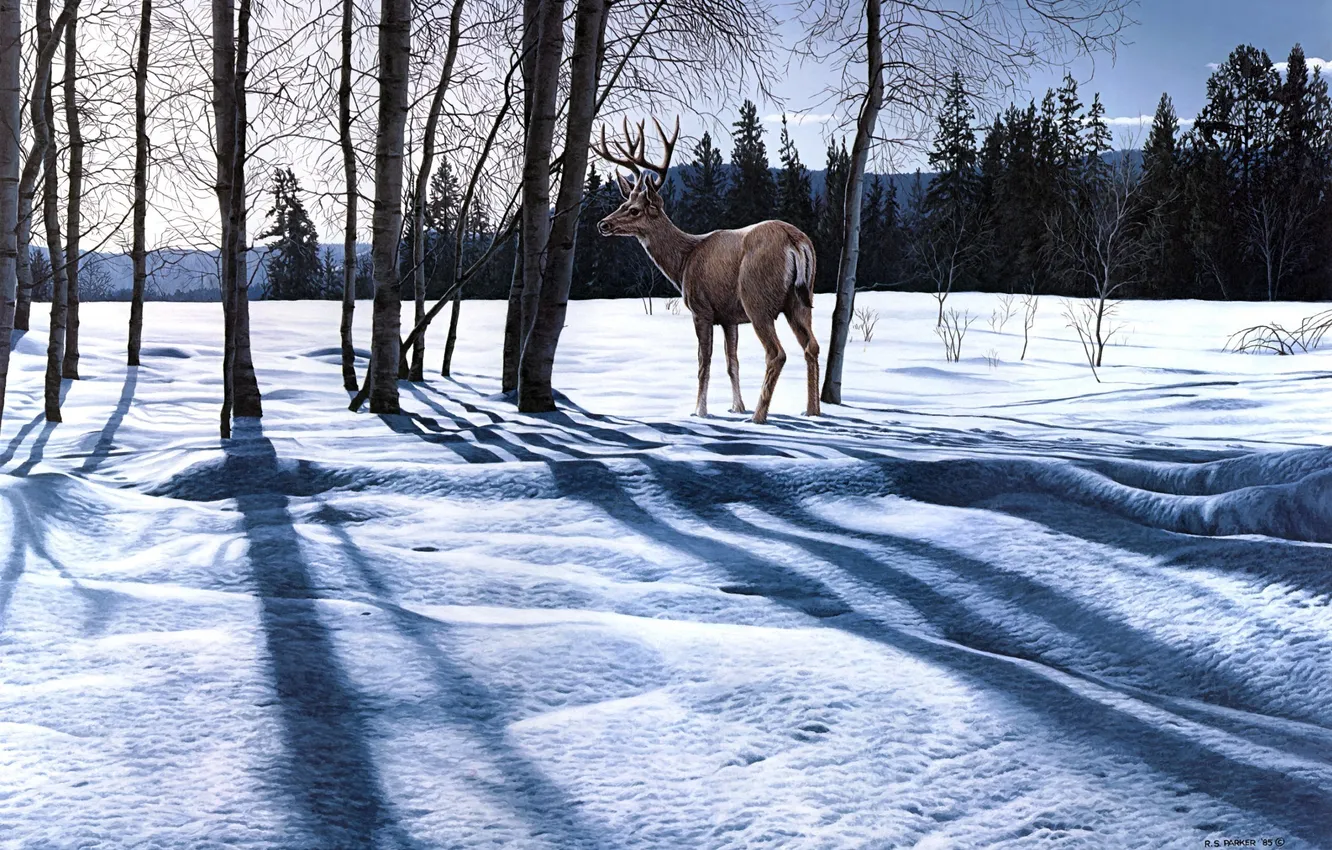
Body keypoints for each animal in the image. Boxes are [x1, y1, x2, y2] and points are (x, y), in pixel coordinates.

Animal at [592, 116, 820, 425]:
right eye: (622, 203)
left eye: (634, 210)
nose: (603, 224)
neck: (683, 262)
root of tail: (794, 240)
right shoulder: (729, 317)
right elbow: (732, 362)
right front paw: (736, 407)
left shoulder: (702, 308)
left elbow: (704, 361)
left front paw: (700, 411)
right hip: (800, 299)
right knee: (812, 346)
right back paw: (812, 411)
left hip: (757, 298)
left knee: (777, 353)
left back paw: (759, 417)